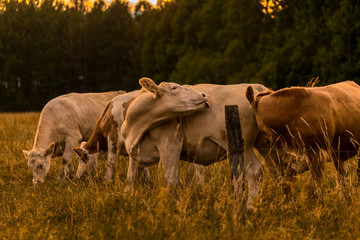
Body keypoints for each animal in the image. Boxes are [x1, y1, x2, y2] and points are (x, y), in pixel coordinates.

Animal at [121, 79, 270, 206]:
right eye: (174, 87)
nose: (203, 95)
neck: (136, 126)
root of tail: (256, 87)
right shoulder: (133, 153)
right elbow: (130, 178)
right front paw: (127, 199)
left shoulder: (170, 146)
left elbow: (171, 180)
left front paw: (171, 209)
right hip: (266, 143)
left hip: (243, 145)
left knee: (254, 170)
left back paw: (251, 206)